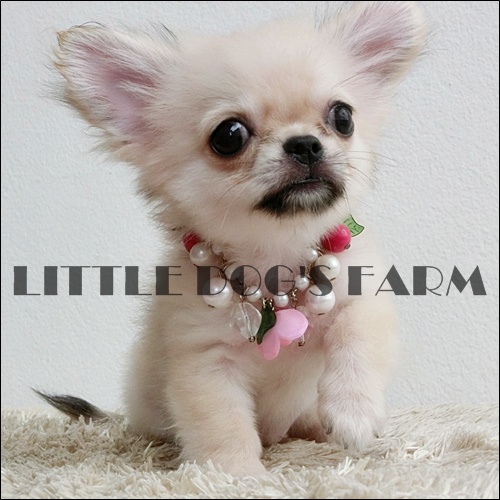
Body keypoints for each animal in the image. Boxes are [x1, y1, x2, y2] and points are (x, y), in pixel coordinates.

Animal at [41, 1, 426, 477]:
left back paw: (318, 424)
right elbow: (221, 422)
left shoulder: (361, 299)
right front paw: (235, 474)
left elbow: (357, 343)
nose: (305, 144)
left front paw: (353, 414)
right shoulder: (205, 359)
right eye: (229, 135)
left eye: (343, 117)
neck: (275, 261)